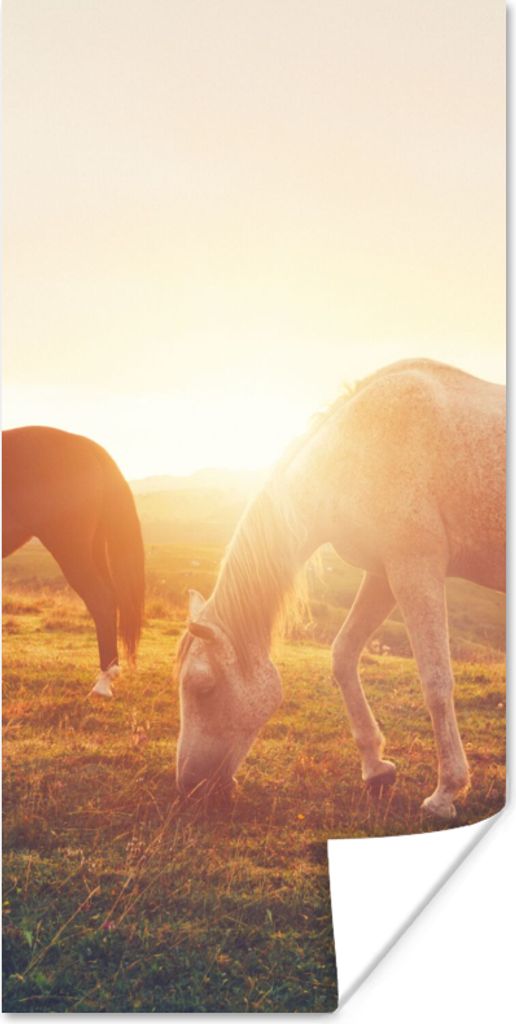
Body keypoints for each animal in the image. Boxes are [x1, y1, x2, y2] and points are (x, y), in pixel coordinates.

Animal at [176, 359, 505, 820]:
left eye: (202, 687)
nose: (187, 786)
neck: (355, 450)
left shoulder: (415, 566)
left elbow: (436, 680)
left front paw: (446, 792)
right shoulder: (383, 574)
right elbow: (343, 655)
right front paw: (376, 768)